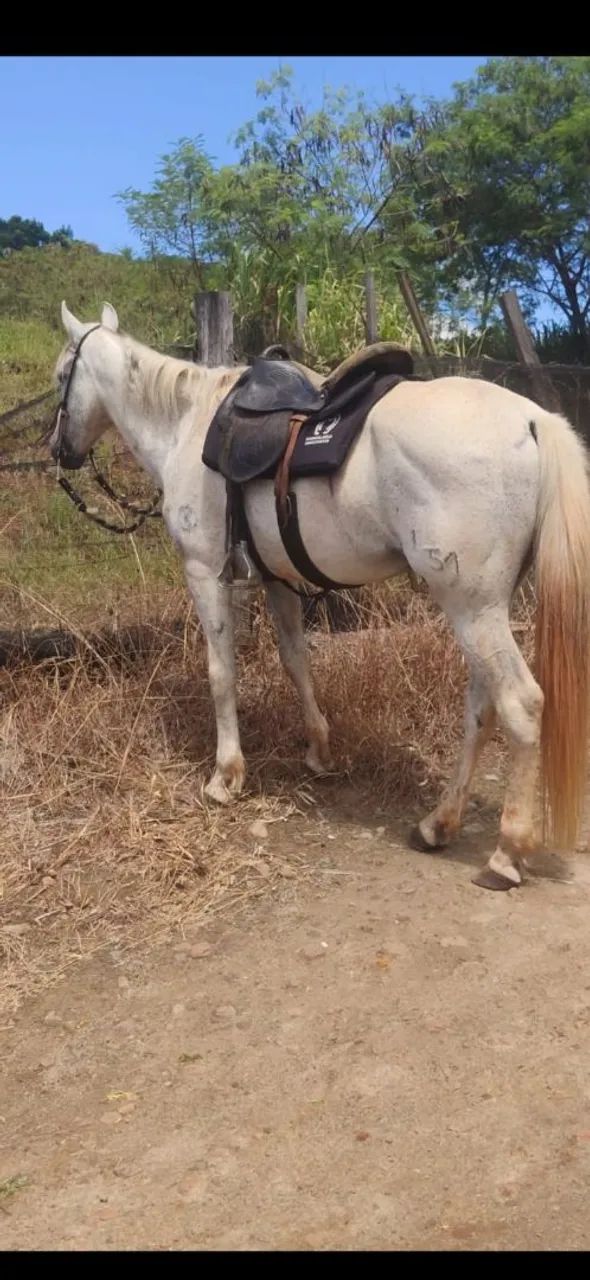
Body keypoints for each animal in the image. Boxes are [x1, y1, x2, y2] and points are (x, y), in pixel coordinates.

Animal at [49, 300, 590, 892]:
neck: (186, 427)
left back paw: (506, 854)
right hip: (482, 610)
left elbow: (221, 672)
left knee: (521, 704)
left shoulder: (206, 573)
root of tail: (532, 420)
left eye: (61, 375)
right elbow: (296, 660)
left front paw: (225, 776)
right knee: (481, 707)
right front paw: (318, 749)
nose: (58, 451)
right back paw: (437, 824)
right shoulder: (276, 578)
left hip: (472, 609)